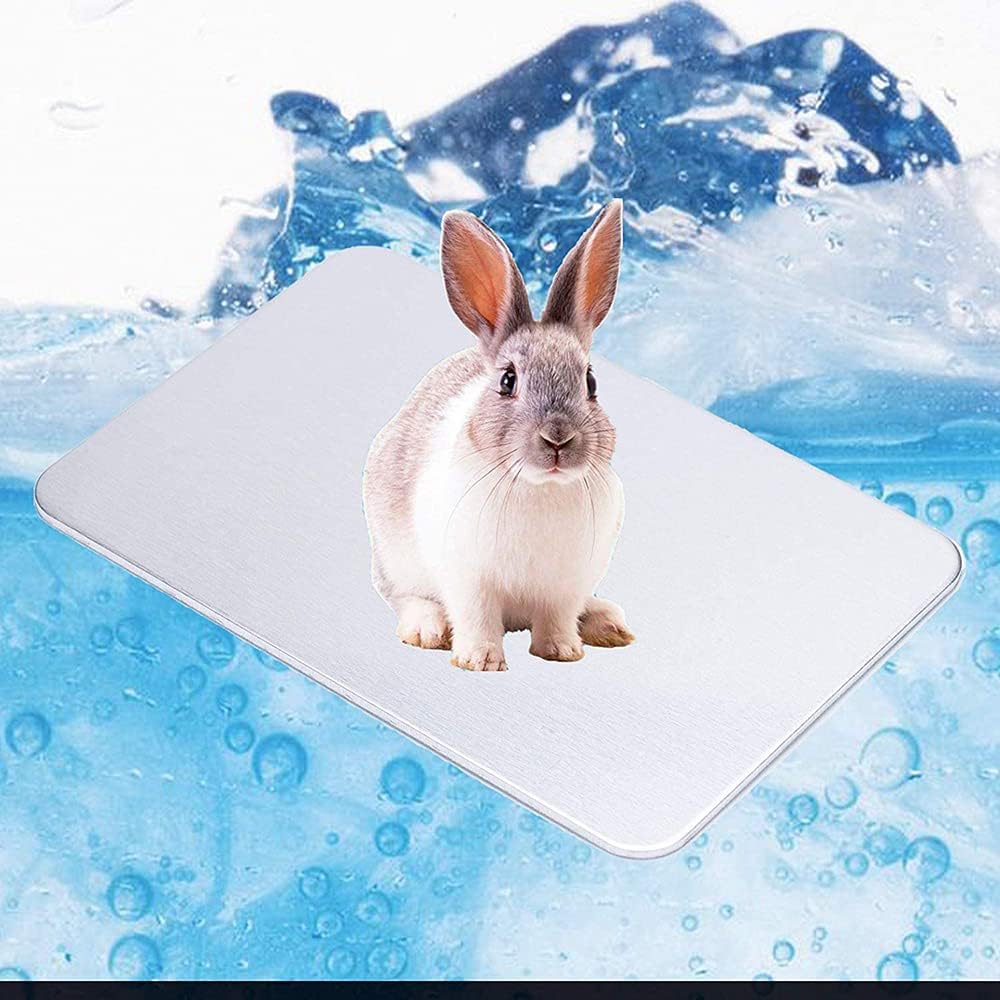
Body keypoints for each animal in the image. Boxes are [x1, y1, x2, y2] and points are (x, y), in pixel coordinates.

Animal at [363, 200, 633, 671]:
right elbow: (477, 617)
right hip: (395, 560)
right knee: (404, 596)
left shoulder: (565, 586)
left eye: (591, 382)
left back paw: (607, 624)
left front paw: (562, 652)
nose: (558, 439)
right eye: (508, 381)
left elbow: (558, 618)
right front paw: (480, 661)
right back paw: (426, 629)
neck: (540, 487)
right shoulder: (469, 579)